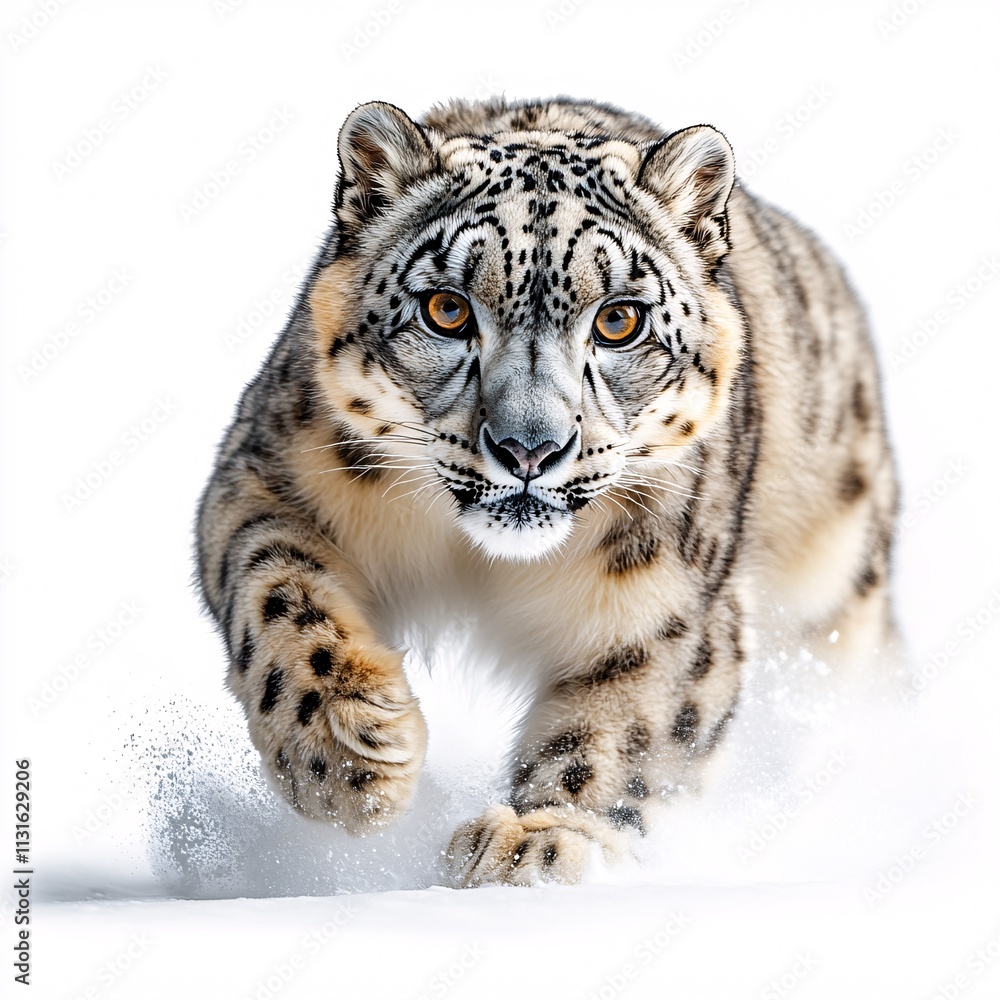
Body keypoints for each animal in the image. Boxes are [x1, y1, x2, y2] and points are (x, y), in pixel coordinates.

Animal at [195, 96, 898, 887]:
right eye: (446, 309)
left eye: (620, 319)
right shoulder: (266, 476)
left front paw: (539, 837)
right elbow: (276, 587)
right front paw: (348, 756)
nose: (529, 446)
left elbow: (629, 724)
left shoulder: (669, 603)